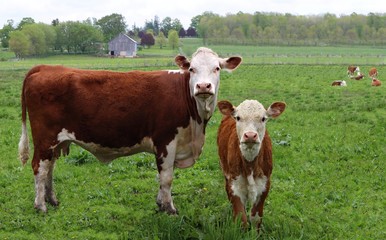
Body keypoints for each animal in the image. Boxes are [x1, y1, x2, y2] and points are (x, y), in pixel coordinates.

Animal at [18, 47, 241, 214]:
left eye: (217, 68)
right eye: (192, 69)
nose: (203, 86)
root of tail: (45, 68)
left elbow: (163, 178)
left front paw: (160, 203)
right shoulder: (166, 141)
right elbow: (166, 177)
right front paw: (169, 208)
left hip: (55, 142)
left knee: (49, 168)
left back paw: (52, 199)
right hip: (45, 138)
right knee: (39, 168)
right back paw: (41, 205)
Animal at [217, 99, 286, 231]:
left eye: (263, 118)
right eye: (238, 117)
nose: (250, 135)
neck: (250, 166)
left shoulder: (264, 185)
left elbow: (256, 218)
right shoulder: (234, 185)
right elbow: (241, 219)